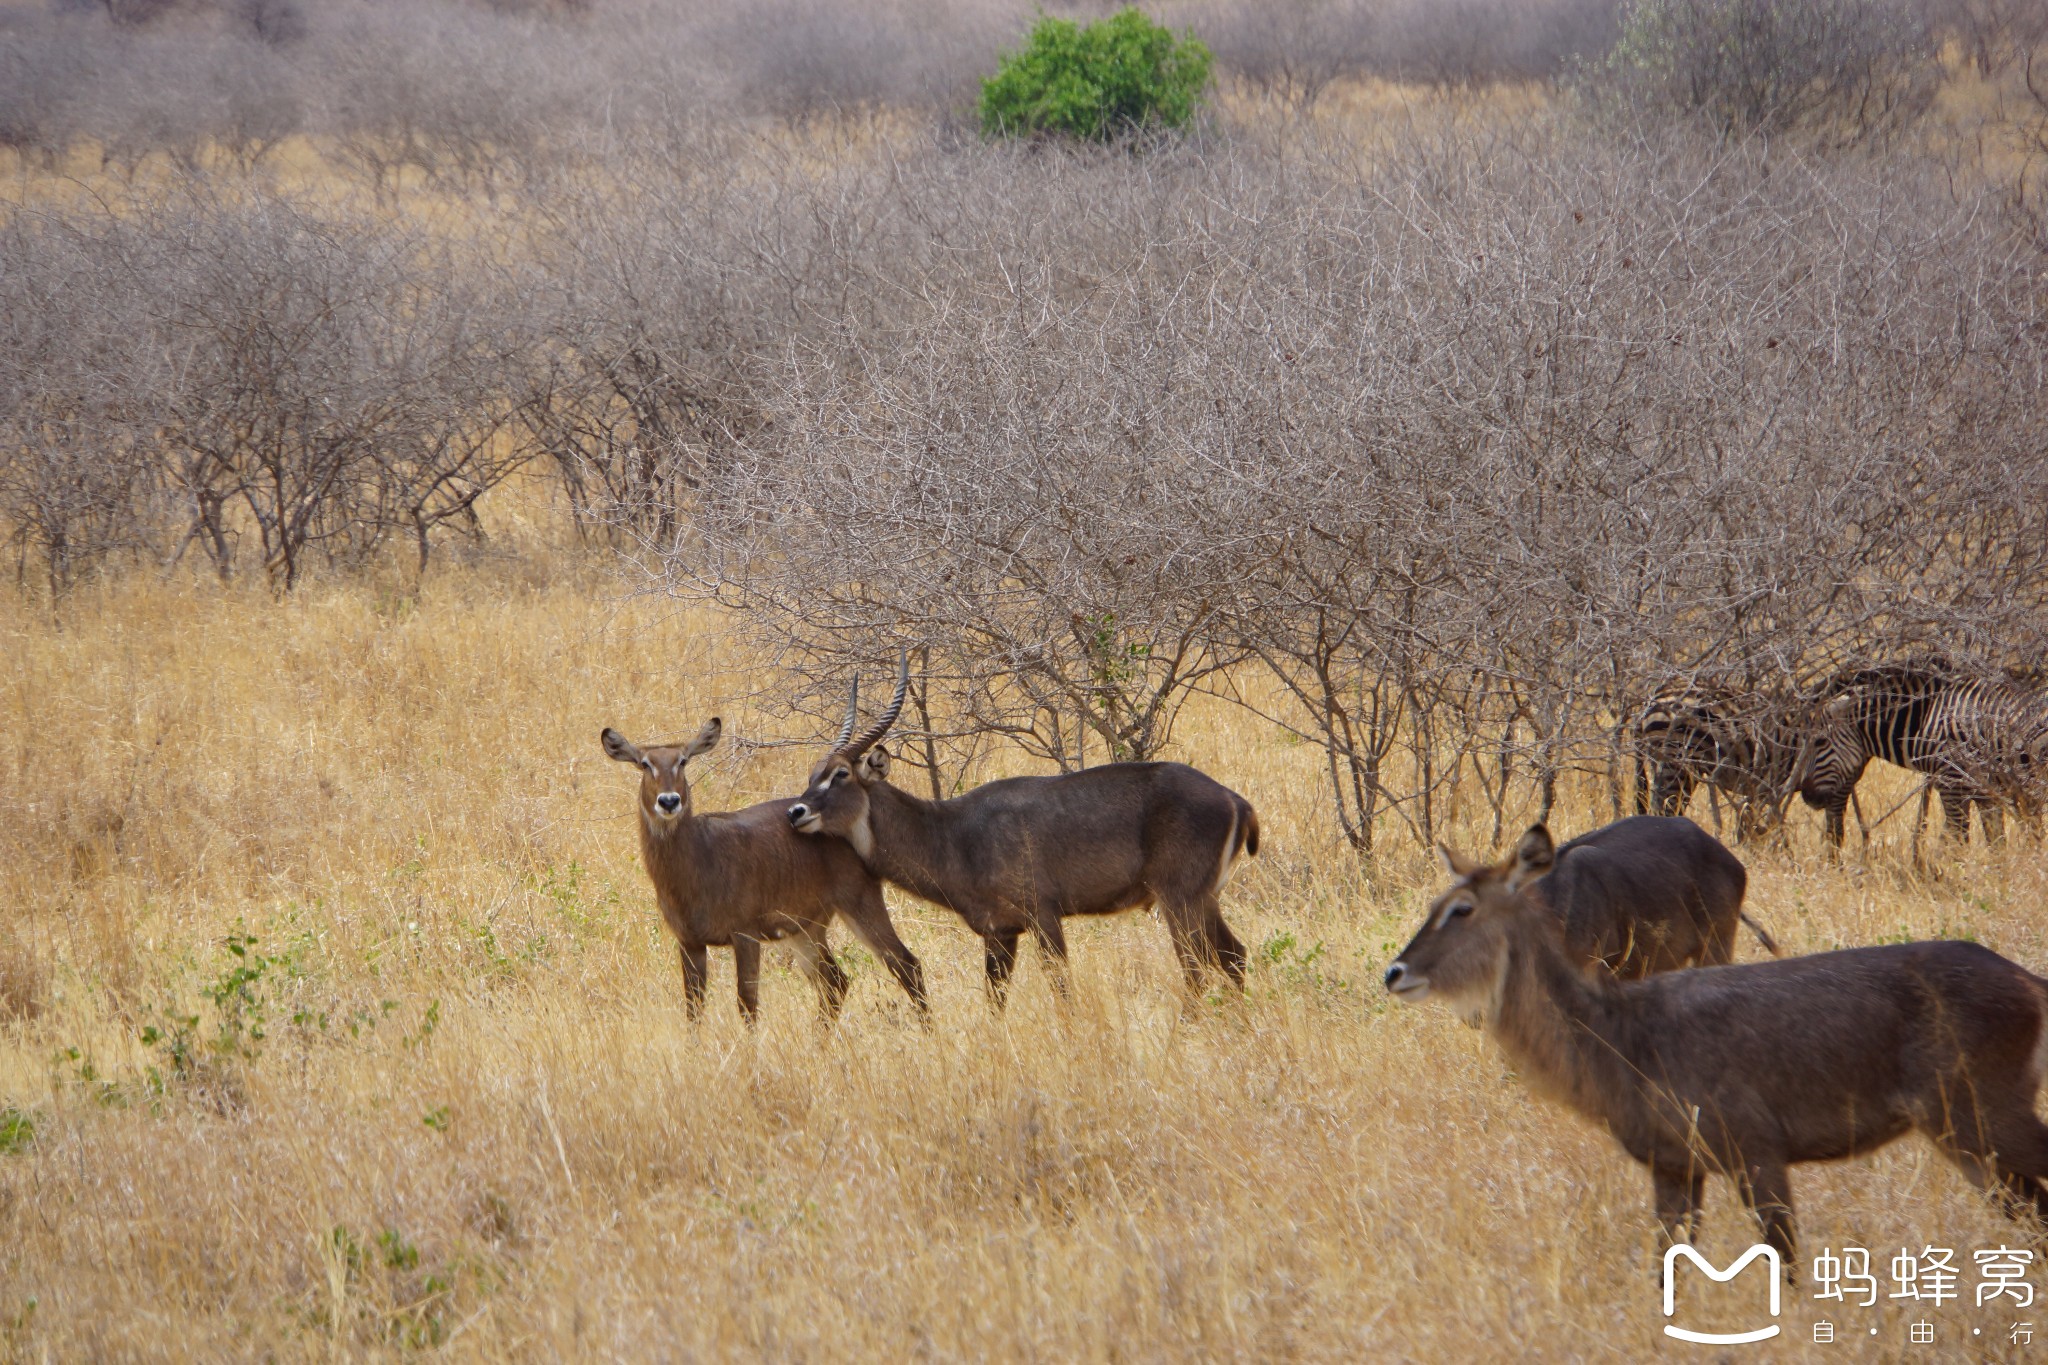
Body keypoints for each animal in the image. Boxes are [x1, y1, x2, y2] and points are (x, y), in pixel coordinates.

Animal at [598, 716, 929, 1023]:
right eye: (644, 764)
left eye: (683, 760)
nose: (669, 801)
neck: (699, 856)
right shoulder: (689, 941)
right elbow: (693, 1008)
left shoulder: (745, 934)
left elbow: (747, 1002)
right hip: (804, 929)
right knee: (835, 982)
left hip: (860, 905)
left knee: (906, 964)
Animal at [782, 663, 1253, 1002]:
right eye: (812, 773)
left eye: (841, 774)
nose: (795, 811)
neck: (951, 835)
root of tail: (1234, 799)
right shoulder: (1000, 933)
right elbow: (995, 1003)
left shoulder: (1044, 918)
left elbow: (1062, 993)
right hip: (1201, 900)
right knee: (1234, 958)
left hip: (1179, 900)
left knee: (1197, 973)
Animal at [1384, 826, 2048, 1277]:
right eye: (1432, 903)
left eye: (1461, 909)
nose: (1394, 972)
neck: (1622, 1036)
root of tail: (2030, 985)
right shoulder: (1675, 1165)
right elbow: (1667, 1270)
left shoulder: (1757, 1151)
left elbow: (1787, 1265)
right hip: (1968, 1138)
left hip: (1980, 1113)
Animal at [1802, 663, 2039, 843]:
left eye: (1820, 742)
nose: (1807, 796)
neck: (1925, 721)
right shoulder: (1985, 795)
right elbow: (1996, 843)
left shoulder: (1953, 786)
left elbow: (1958, 843)